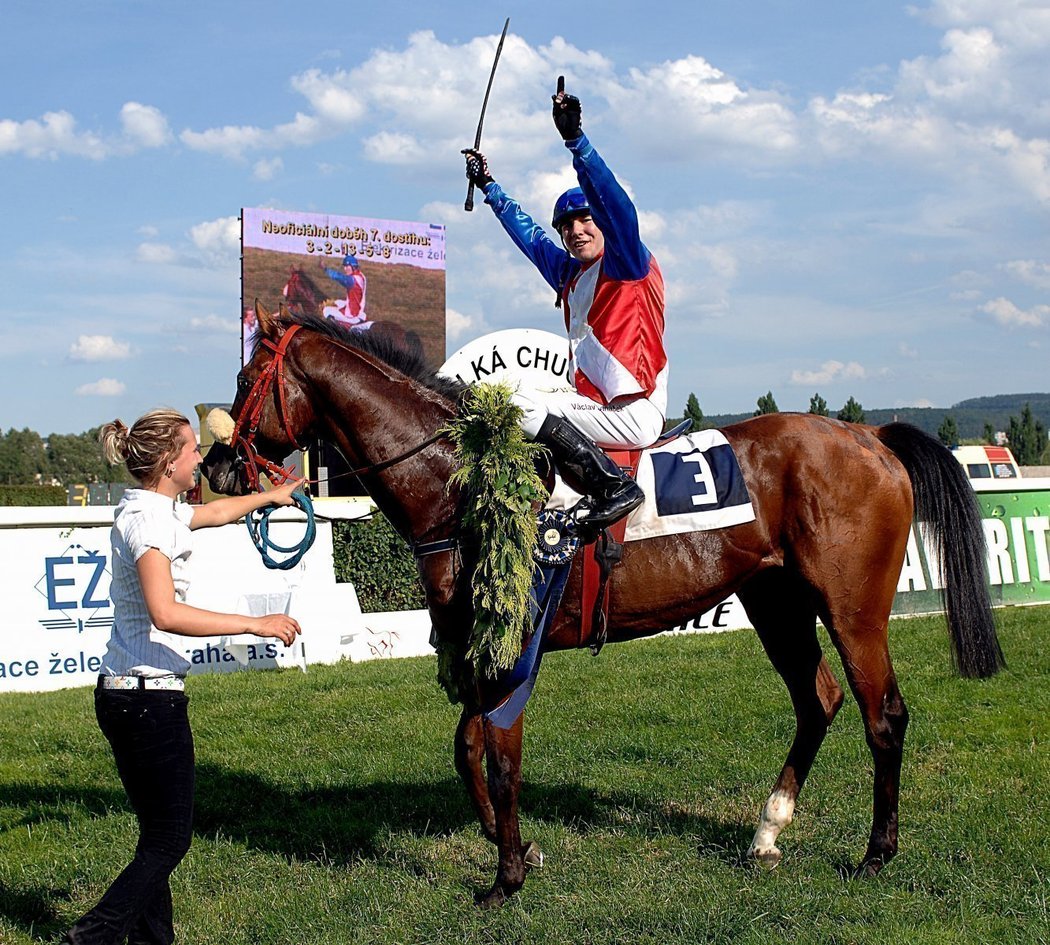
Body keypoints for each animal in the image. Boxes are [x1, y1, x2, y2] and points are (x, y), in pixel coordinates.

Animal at [202, 304, 999, 907]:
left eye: (244, 379)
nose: (217, 467)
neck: (460, 482)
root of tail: (869, 434)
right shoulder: (483, 646)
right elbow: (467, 749)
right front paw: (512, 844)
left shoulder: (513, 646)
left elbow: (500, 758)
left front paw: (505, 878)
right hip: (775, 602)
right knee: (819, 700)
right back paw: (767, 831)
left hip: (852, 608)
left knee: (882, 714)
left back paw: (875, 853)